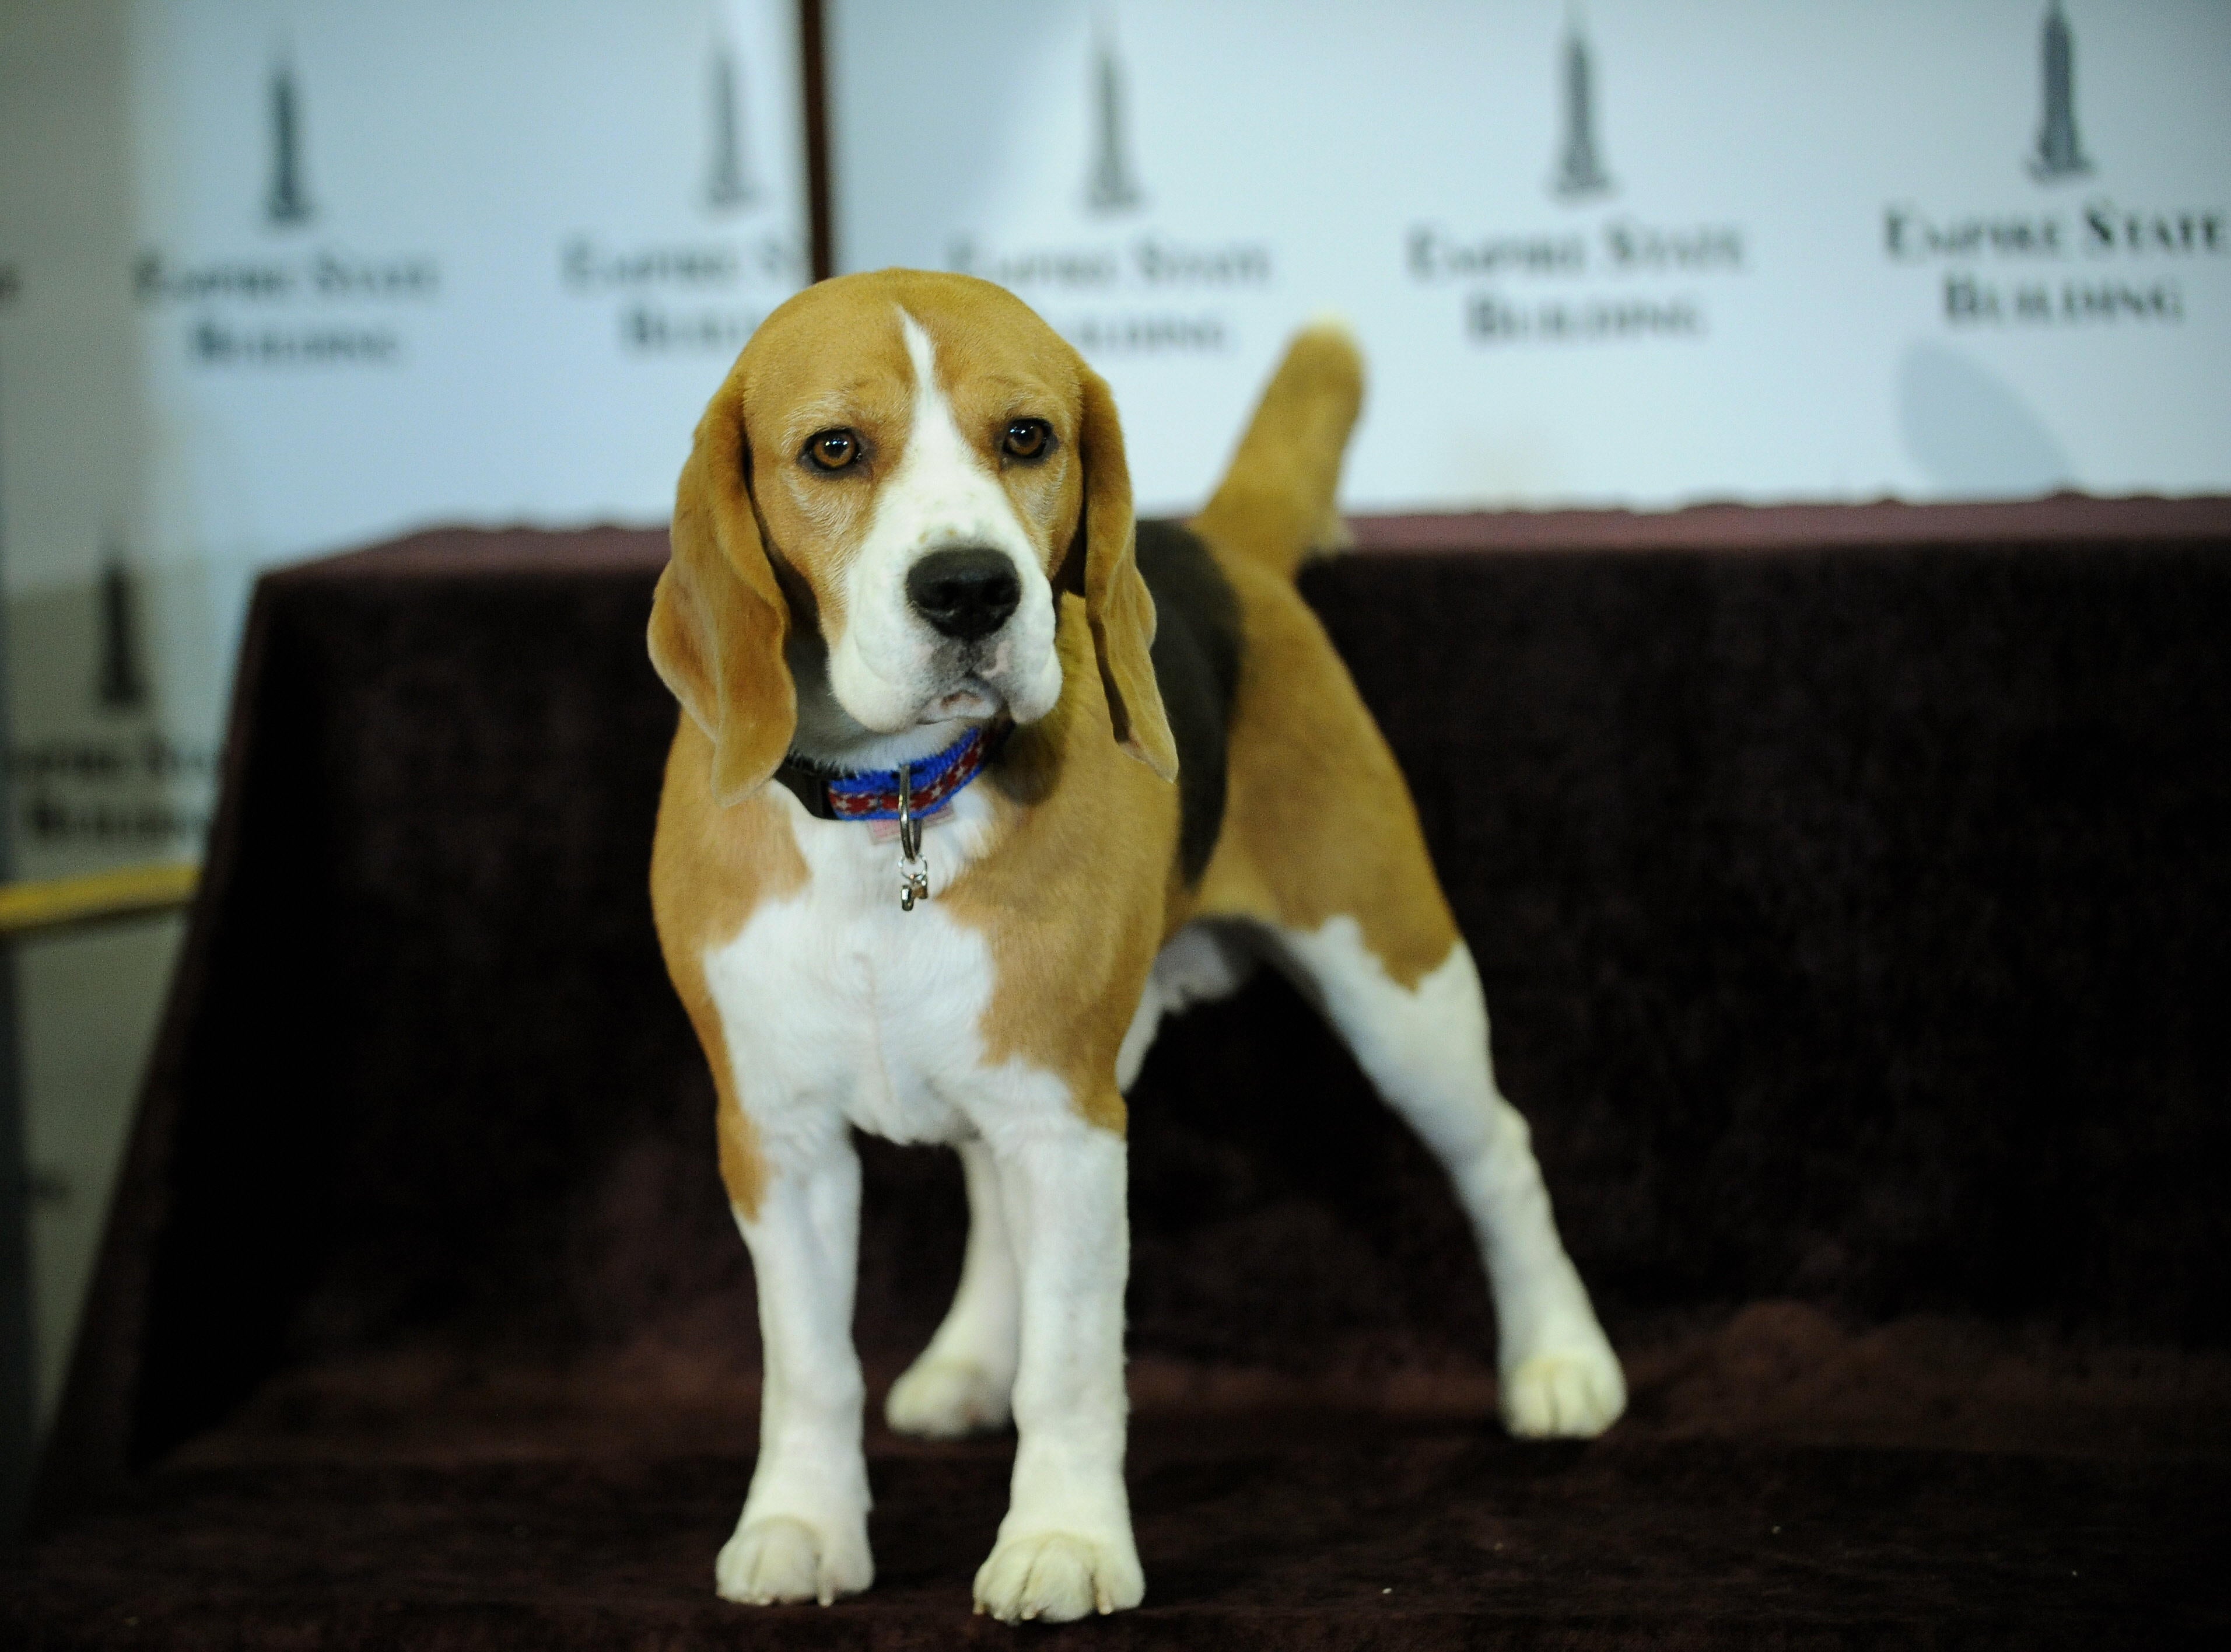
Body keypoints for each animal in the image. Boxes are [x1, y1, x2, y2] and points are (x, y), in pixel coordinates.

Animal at [647, 271, 1624, 1625]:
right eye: (832, 451)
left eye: (1027, 437)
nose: (970, 590)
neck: (893, 812)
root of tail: (1219, 540)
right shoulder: (775, 1139)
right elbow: (807, 1363)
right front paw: (799, 1521)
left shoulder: (1070, 1122)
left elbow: (1067, 1364)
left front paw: (1062, 1540)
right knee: (989, 1203)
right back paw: (964, 1360)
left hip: (1396, 983)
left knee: (1499, 1155)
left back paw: (1558, 1357)